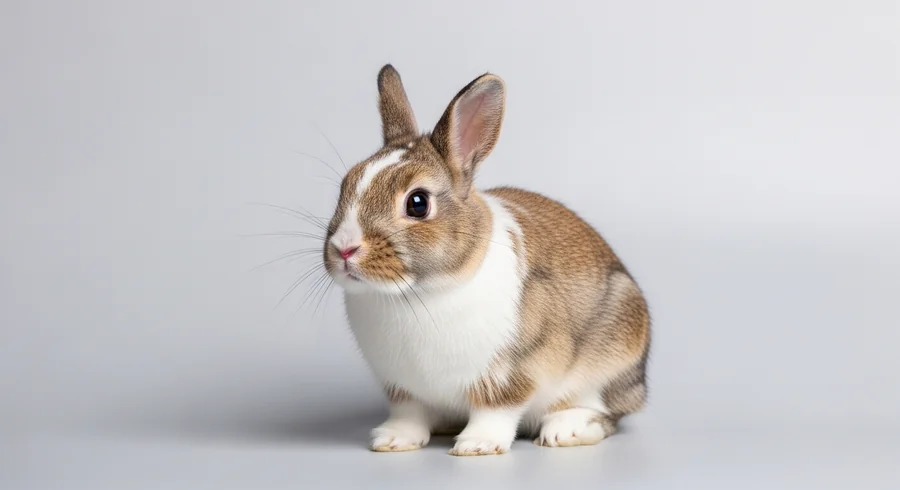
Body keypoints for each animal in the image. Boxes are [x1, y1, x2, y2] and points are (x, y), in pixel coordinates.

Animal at [321, 64, 651, 456]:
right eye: (345, 186)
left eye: (417, 203)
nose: (344, 249)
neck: (416, 292)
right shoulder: (402, 387)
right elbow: (409, 414)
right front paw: (392, 440)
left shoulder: (510, 372)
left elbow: (495, 410)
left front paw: (477, 445)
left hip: (610, 358)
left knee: (602, 411)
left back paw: (565, 431)